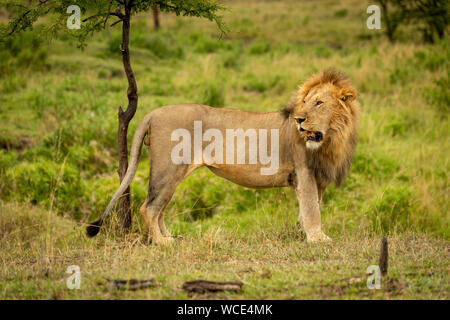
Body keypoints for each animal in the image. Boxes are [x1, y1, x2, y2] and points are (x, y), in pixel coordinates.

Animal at [87, 70, 358, 244]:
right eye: (305, 102)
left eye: (319, 103)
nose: (299, 119)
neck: (332, 138)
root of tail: (153, 113)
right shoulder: (304, 171)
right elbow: (312, 209)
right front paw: (318, 239)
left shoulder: (317, 178)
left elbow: (308, 209)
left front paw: (302, 234)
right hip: (168, 169)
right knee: (149, 208)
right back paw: (162, 244)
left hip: (172, 175)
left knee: (158, 208)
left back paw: (170, 237)